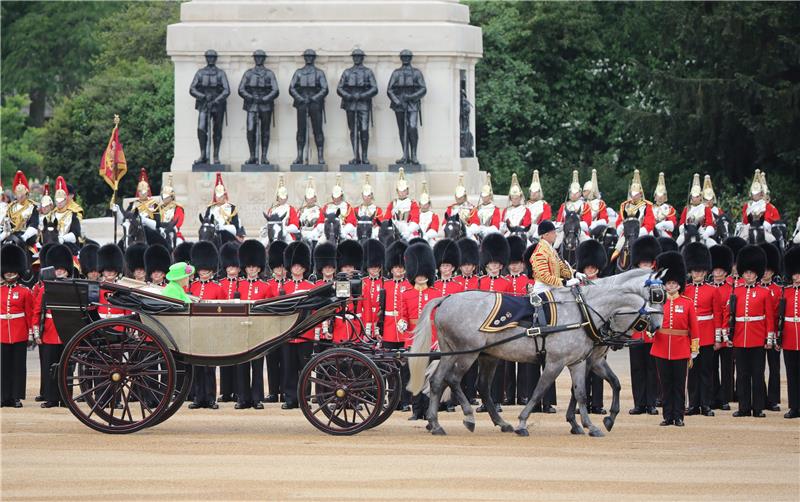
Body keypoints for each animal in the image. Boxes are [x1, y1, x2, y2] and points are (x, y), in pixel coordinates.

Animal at [406, 268, 664, 438]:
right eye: (657, 296)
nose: (657, 326)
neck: (583, 311)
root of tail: (447, 298)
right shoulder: (556, 362)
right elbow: (540, 390)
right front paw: (523, 422)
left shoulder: (580, 361)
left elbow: (584, 392)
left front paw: (591, 424)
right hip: (466, 354)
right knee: (453, 380)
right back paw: (468, 416)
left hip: (468, 353)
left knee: (443, 381)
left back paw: (440, 424)